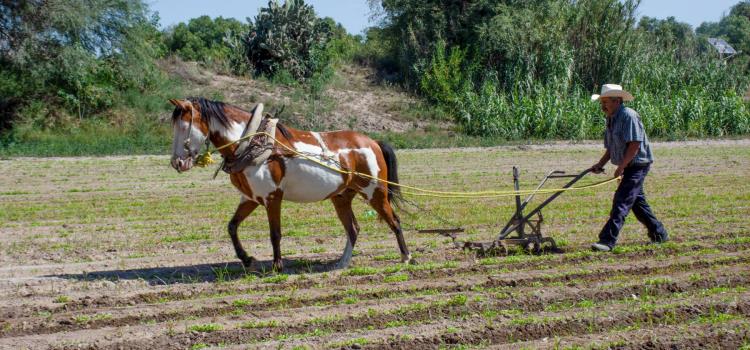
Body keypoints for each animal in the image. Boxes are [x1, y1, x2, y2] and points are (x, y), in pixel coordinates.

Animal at [168, 97, 414, 272]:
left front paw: (277, 265)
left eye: (184, 126)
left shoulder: (272, 197)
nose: (177, 162)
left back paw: (406, 256)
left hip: (375, 192)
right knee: (353, 228)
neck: (252, 144)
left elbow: (275, 233)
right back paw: (342, 263)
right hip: (342, 197)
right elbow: (232, 226)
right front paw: (247, 259)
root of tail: (372, 142)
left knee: (394, 221)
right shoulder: (250, 198)